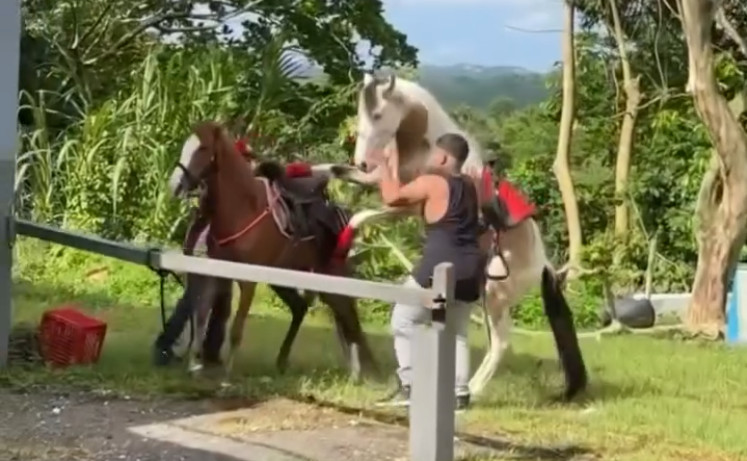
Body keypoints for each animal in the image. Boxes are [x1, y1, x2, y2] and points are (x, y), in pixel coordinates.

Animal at [168, 120, 377, 381]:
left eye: (203, 148)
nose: (175, 185)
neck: (244, 209)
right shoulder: (216, 274)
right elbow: (201, 319)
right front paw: (194, 366)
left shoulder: (248, 281)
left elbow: (236, 329)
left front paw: (226, 375)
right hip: (285, 278)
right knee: (304, 309)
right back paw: (284, 361)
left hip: (331, 277)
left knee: (347, 313)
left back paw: (356, 373)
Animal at [327, 73, 588, 401]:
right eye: (361, 112)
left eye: (377, 114)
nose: (362, 161)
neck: (422, 146)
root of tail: (544, 266)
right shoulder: (377, 180)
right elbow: (337, 172)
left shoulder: (407, 205)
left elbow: (362, 216)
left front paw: (346, 244)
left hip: (495, 295)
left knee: (501, 342)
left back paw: (473, 389)